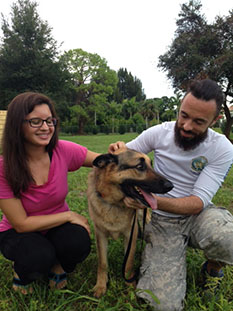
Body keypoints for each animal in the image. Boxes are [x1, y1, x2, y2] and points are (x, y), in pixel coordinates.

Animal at [87, 147, 173, 298]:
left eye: (151, 164)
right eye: (140, 166)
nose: (171, 185)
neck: (114, 204)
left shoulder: (130, 235)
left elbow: (128, 262)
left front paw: (129, 284)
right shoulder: (100, 235)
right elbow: (102, 263)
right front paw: (101, 286)